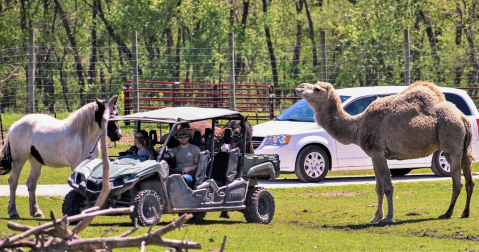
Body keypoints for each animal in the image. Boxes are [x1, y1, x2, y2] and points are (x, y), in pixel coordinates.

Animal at [296, 81, 476, 224]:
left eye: (317, 89)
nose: (300, 87)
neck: (358, 126)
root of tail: (463, 118)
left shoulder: (378, 153)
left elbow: (388, 187)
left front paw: (388, 217)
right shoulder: (374, 156)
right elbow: (378, 187)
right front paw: (376, 216)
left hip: (451, 143)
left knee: (457, 181)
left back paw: (447, 213)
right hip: (462, 148)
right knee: (469, 180)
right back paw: (465, 213)